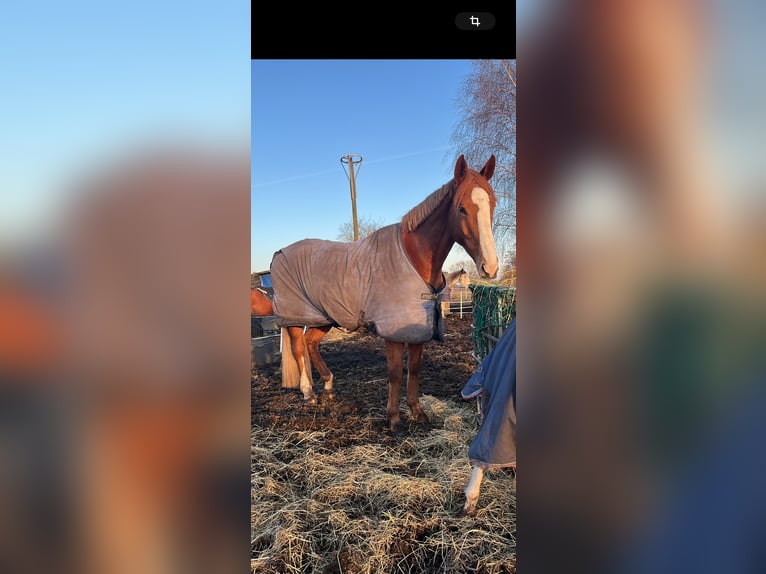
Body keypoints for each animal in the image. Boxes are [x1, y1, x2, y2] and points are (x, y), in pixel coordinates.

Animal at [266, 154, 498, 435]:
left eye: (493, 204)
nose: (490, 267)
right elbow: (395, 373)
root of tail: (279, 253)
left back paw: (329, 387)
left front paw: (417, 412)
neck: (415, 256)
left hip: (323, 317)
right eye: (462, 208)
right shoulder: (393, 333)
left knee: (311, 343)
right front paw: (395, 420)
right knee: (299, 348)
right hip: (295, 317)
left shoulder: (418, 330)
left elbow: (415, 370)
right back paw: (309, 393)